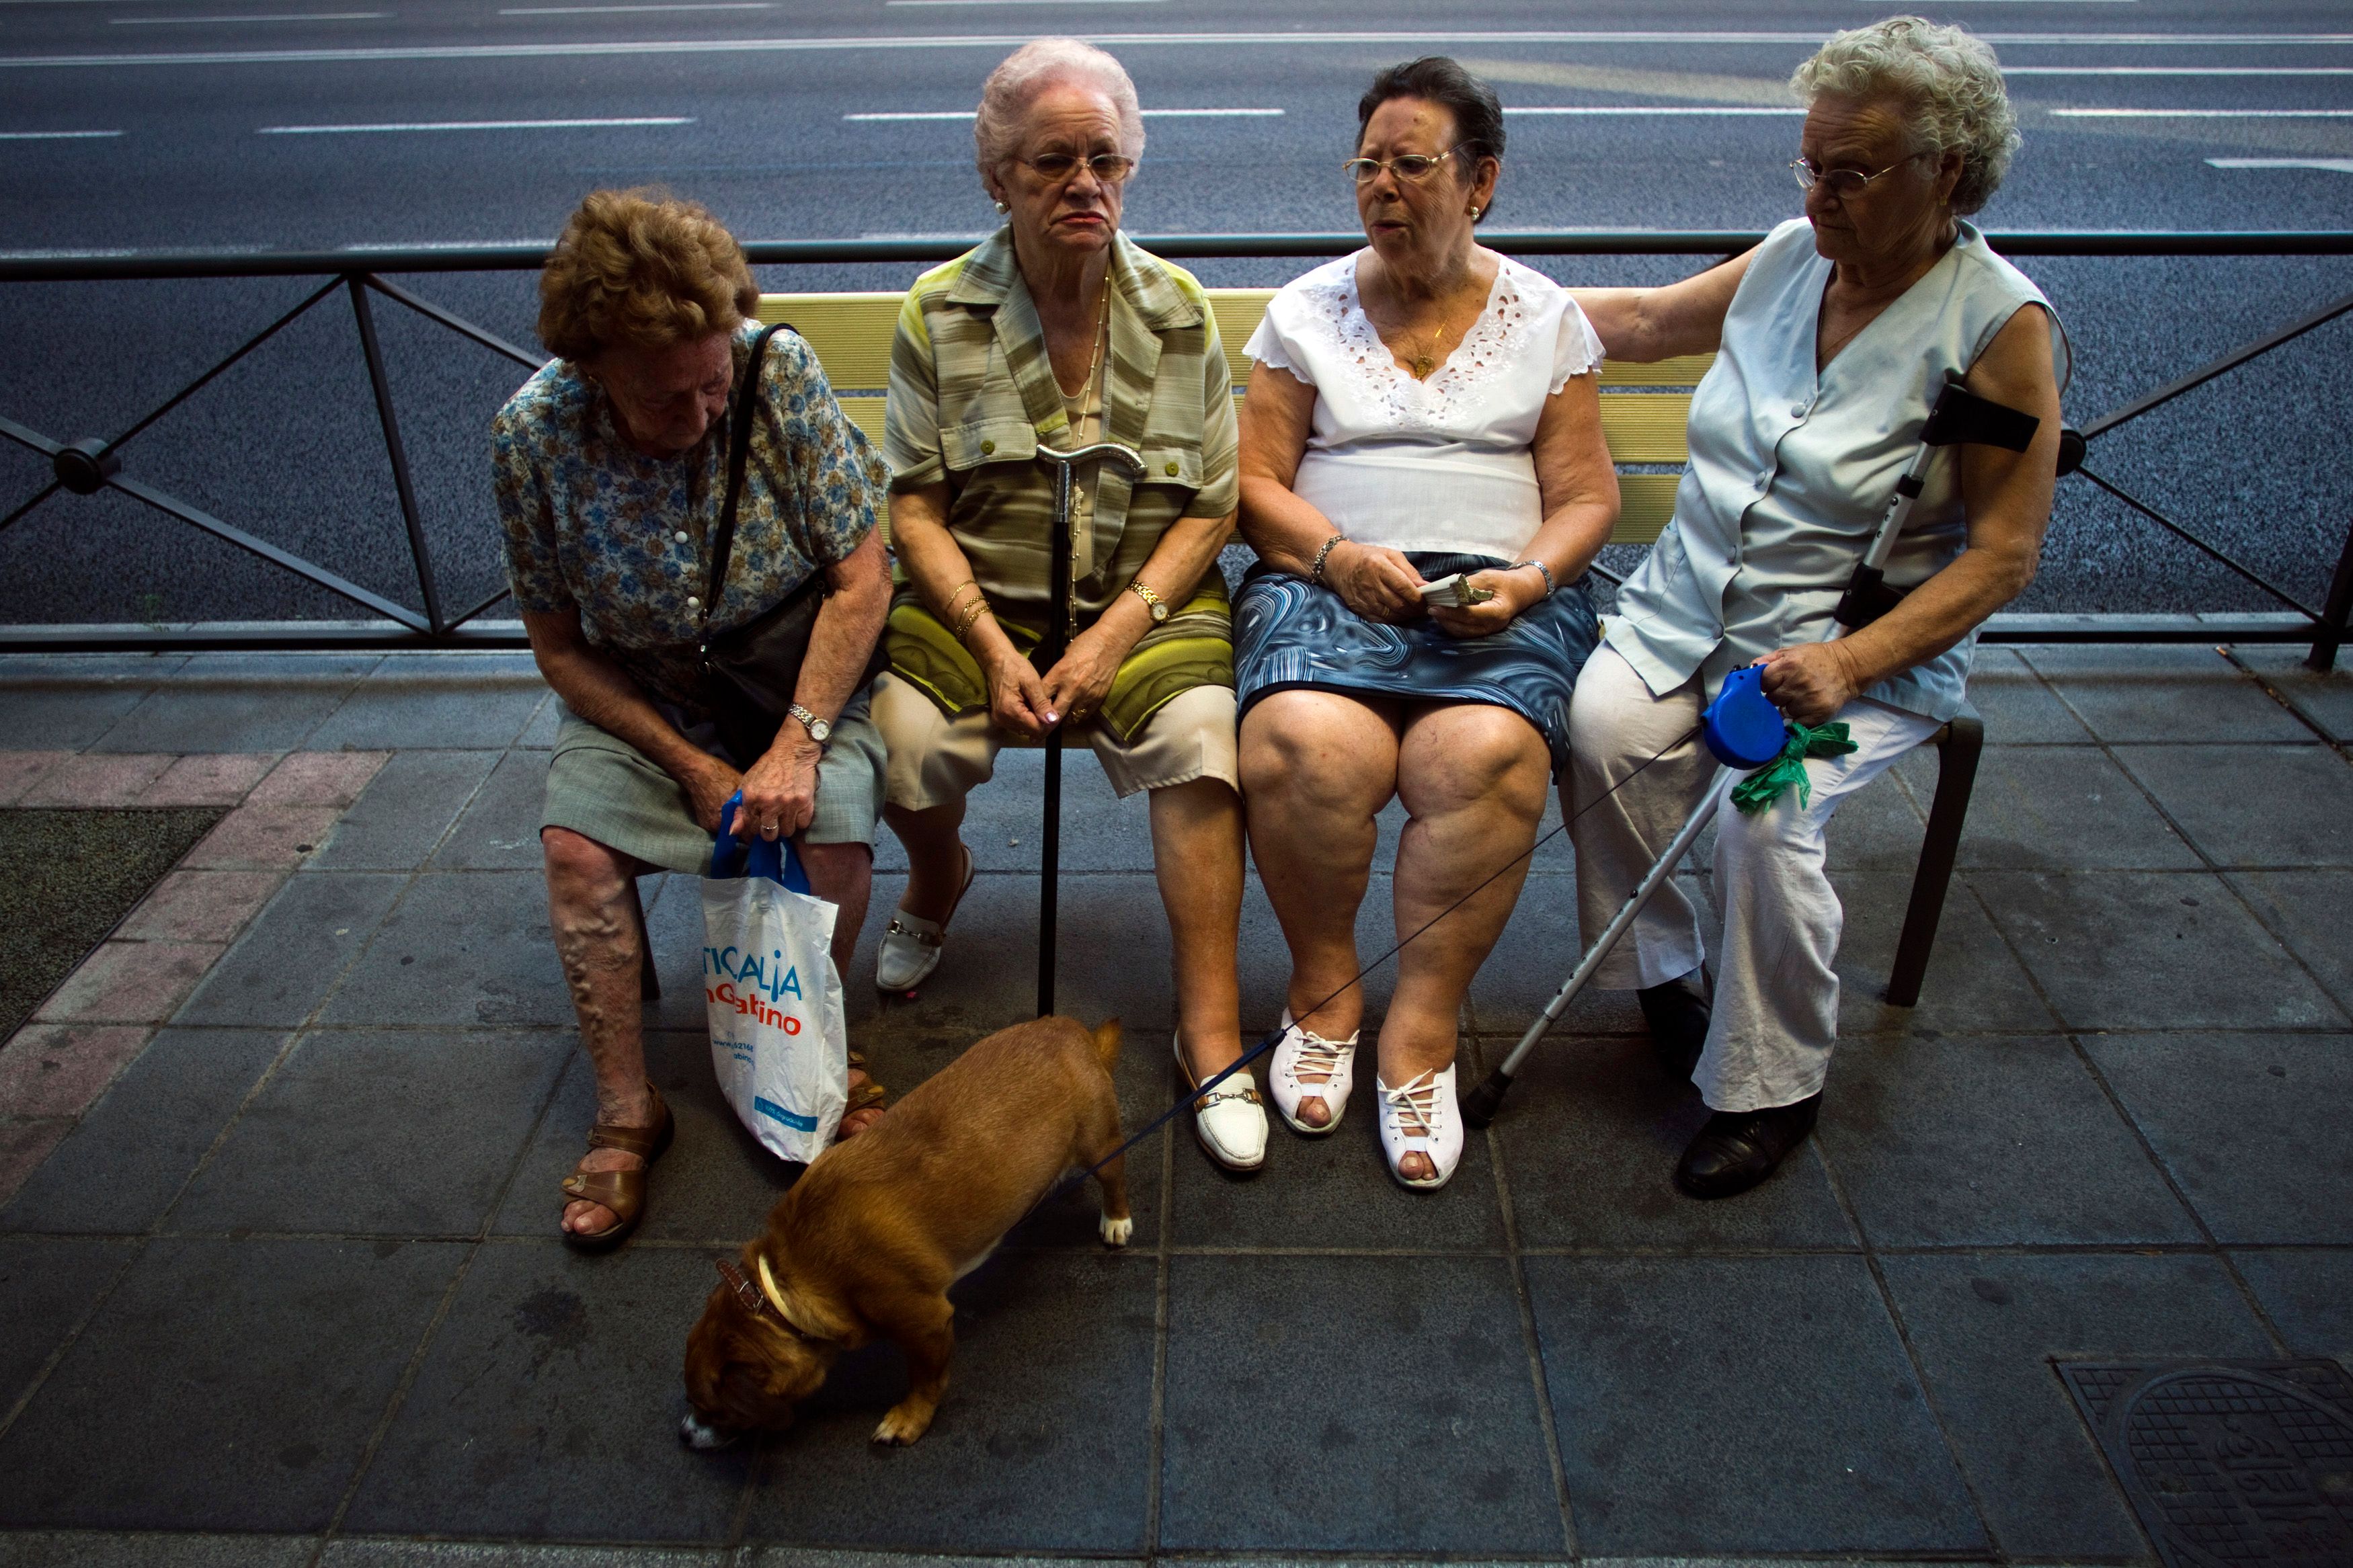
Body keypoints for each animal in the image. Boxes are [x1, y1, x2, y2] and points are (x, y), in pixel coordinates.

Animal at [682, 1020, 1129, 1448]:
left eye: (713, 1410)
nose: (684, 1433)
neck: (785, 1283)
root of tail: (1075, 1032)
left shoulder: (926, 1325)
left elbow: (925, 1380)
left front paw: (909, 1419)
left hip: (1101, 1147)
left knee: (1114, 1183)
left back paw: (1116, 1220)